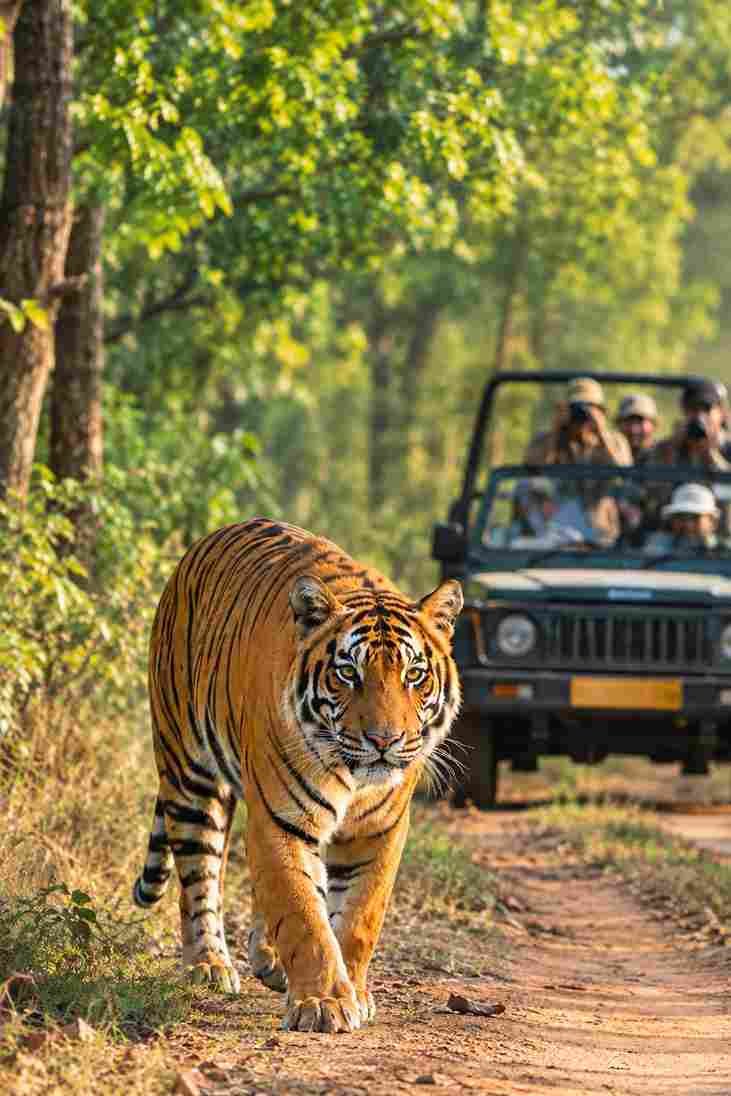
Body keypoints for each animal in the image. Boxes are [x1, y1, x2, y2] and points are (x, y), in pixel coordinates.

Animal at [133, 517, 463, 1033]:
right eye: (348, 673)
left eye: (414, 674)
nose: (384, 740)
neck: (354, 777)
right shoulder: (280, 820)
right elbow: (303, 914)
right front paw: (324, 1002)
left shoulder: (380, 830)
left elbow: (358, 917)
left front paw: (354, 992)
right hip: (190, 773)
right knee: (199, 877)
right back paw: (209, 965)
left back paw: (265, 958)